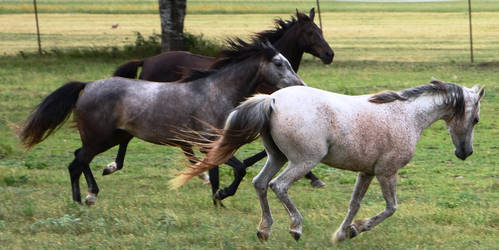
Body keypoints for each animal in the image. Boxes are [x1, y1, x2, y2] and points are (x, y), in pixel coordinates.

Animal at [18, 40, 304, 205]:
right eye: (279, 63)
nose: (300, 85)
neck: (215, 91)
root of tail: (87, 86)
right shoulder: (207, 143)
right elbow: (238, 168)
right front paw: (221, 194)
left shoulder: (213, 144)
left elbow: (216, 171)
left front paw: (217, 200)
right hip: (100, 138)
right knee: (76, 163)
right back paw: (83, 199)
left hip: (109, 137)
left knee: (80, 158)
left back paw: (90, 194)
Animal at [171, 79, 484, 242]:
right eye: (476, 119)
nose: (465, 153)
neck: (407, 116)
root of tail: (272, 99)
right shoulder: (387, 172)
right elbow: (390, 208)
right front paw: (356, 229)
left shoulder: (366, 172)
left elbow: (354, 204)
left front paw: (343, 233)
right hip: (304, 161)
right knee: (278, 186)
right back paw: (295, 227)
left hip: (277, 156)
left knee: (260, 184)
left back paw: (264, 230)